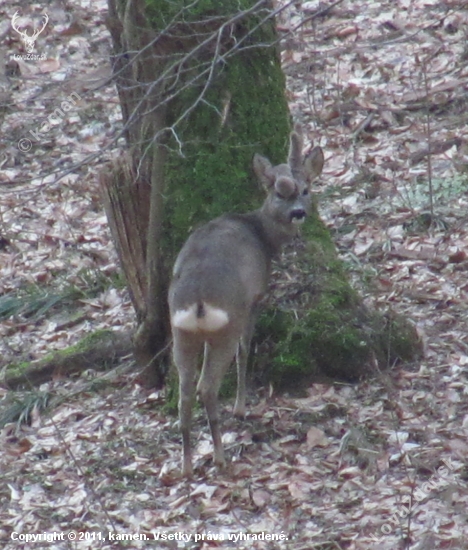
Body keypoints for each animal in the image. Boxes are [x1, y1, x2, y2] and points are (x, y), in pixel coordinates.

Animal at [169, 126, 326, 478]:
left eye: (305, 189)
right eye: (279, 192)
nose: (299, 213)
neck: (261, 234)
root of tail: (198, 301)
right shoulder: (255, 299)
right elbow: (246, 349)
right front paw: (241, 408)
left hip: (180, 332)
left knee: (185, 392)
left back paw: (186, 466)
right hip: (226, 322)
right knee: (207, 386)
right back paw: (219, 456)